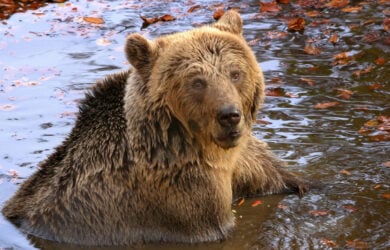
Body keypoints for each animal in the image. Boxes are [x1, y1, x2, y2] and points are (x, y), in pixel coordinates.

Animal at [1, 10, 310, 245]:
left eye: (235, 73)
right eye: (197, 81)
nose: (229, 115)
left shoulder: (246, 159)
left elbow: (280, 177)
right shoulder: (186, 197)